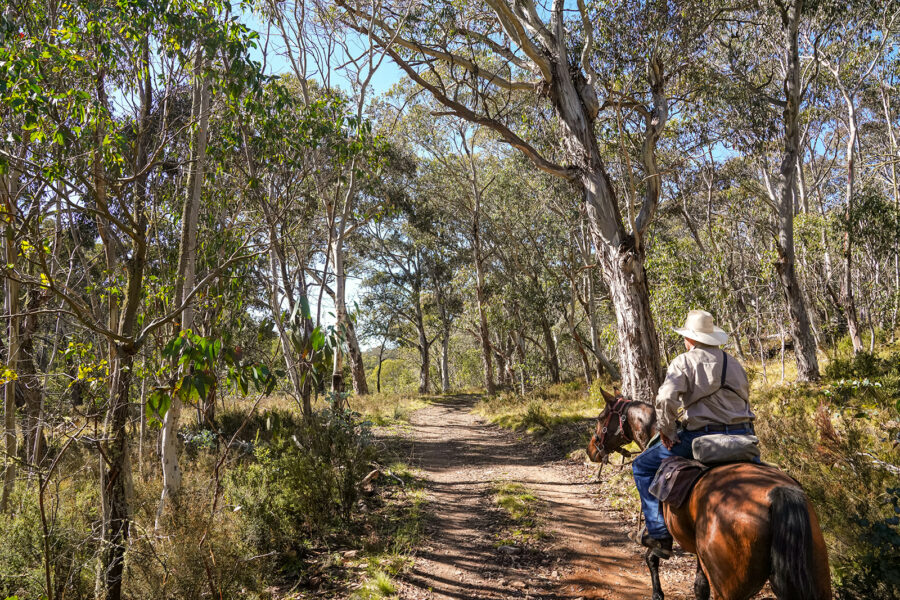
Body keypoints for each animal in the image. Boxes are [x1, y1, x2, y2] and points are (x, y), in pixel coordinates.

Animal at [586, 387, 831, 600]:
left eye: (600, 418)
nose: (591, 450)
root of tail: (777, 493)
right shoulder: (699, 555)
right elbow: (699, 587)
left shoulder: (663, 541)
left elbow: (652, 558)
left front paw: (657, 594)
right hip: (818, 578)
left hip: (729, 587)